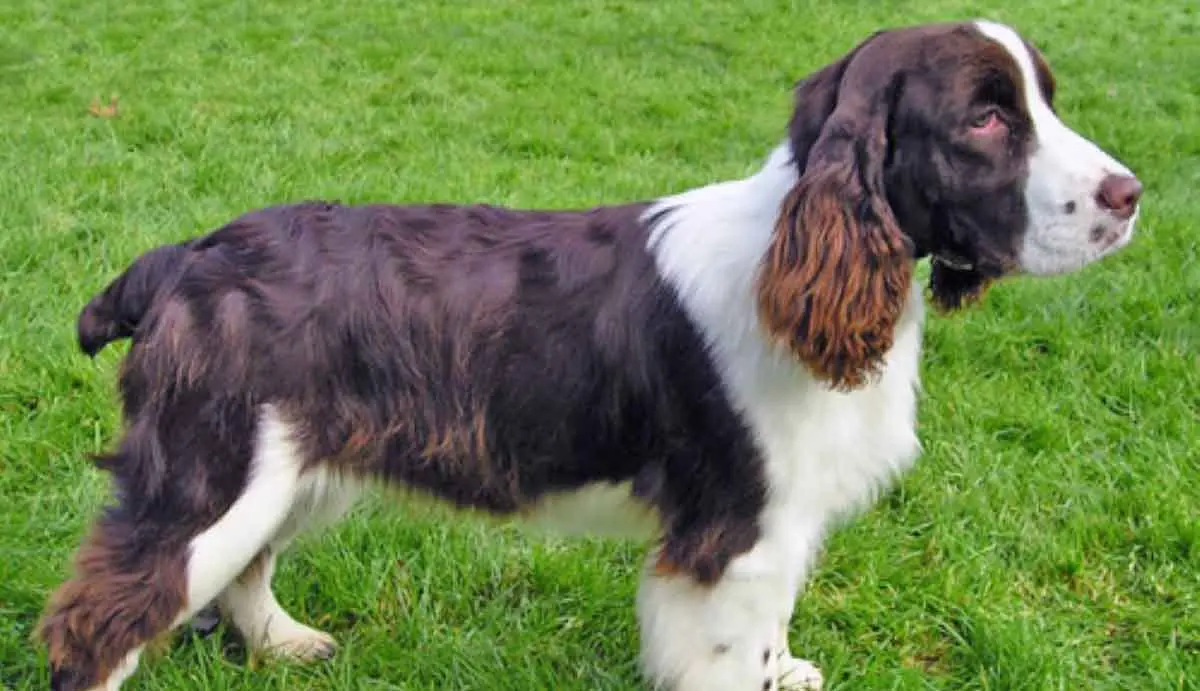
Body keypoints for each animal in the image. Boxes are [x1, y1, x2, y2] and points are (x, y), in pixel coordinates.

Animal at [39, 18, 1142, 686]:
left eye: (1044, 99)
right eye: (986, 116)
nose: (1131, 194)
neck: (797, 253)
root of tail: (185, 256)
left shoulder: (780, 520)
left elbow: (774, 625)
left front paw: (788, 668)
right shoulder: (735, 526)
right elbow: (732, 646)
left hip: (280, 462)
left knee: (239, 572)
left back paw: (288, 642)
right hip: (214, 467)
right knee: (105, 614)